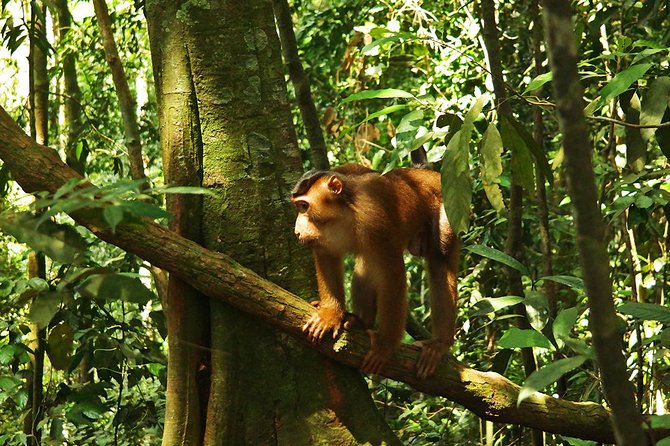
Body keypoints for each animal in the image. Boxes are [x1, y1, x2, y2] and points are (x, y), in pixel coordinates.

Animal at [292, 164, 460, 376]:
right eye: (298, 206)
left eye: (304, 206)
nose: (297, 231)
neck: (343, 212)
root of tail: (432, 174)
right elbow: (327, 255)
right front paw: (331, 313)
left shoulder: (374, 215)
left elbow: (392, 276)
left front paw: (385, 345)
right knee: (365, 267)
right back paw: (361, 321)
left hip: (449, 210)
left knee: (440, 259)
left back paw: (439, 344)